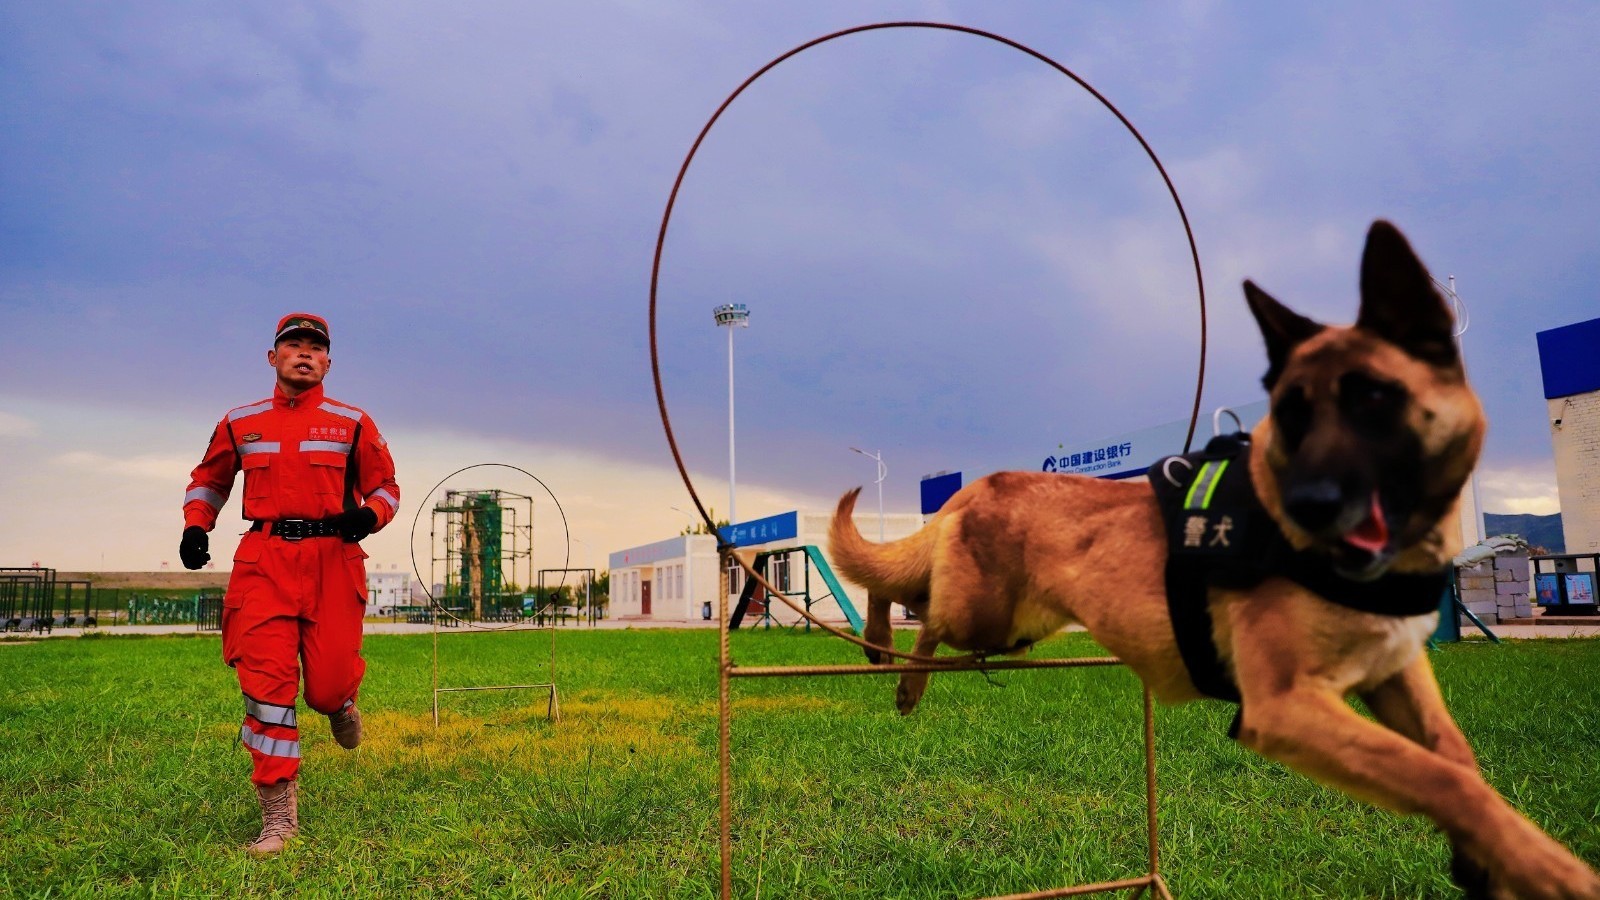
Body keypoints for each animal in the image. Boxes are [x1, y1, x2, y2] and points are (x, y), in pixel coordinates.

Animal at [832, 219, 1593, 896]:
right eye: (1289, 415)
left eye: (1373, 401)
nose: (1306, 506)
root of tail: (979, 483)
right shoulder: (1284, 706)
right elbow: (1439, 776)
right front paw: (1547, 868)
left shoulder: (1392, 676)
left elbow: (1456, 761)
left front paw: (1487, 857)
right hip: (981, 613)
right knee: (916, 608)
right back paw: (894, 671)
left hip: (1013, 627)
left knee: (912, 594)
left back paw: (882, 652)